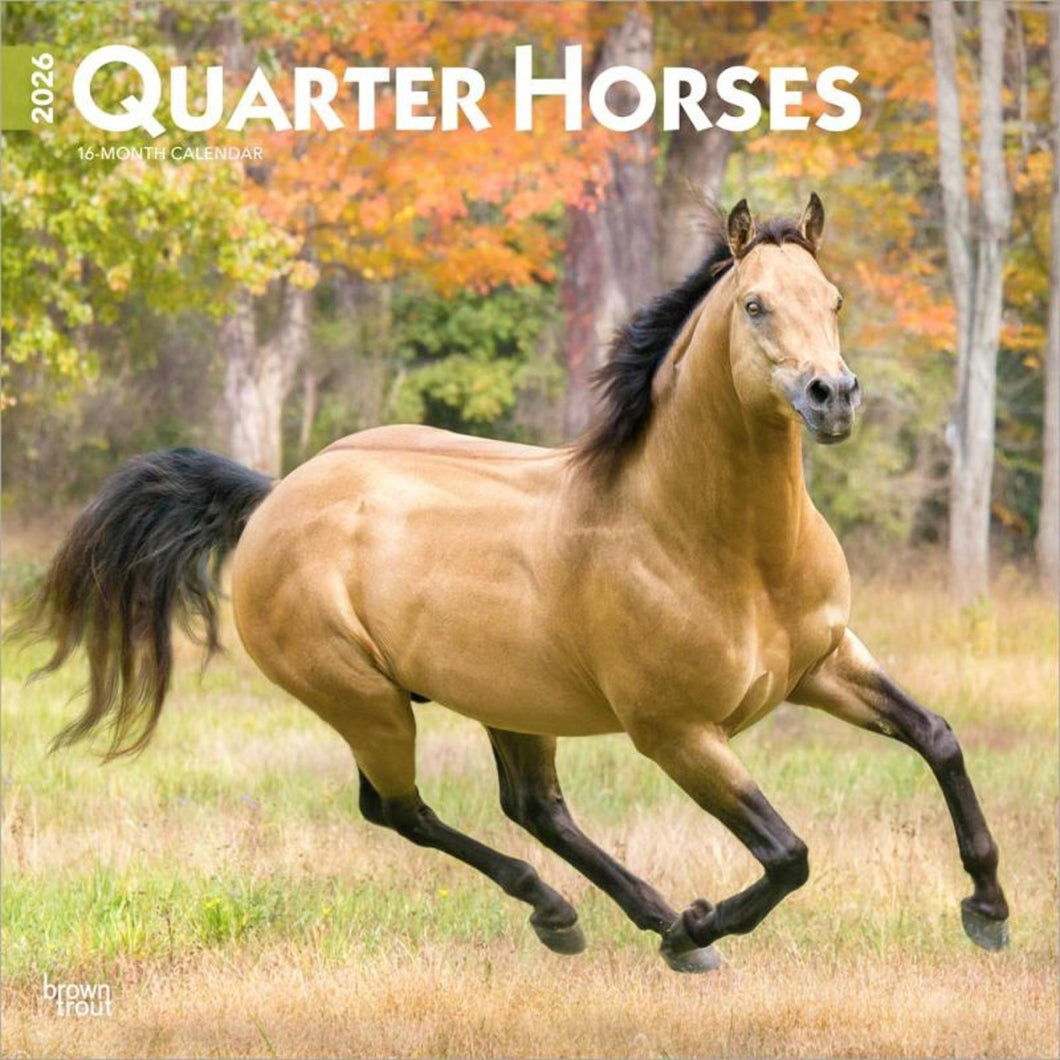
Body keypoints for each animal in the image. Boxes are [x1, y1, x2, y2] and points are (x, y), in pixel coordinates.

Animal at [24, 196, 1009, 972]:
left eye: (834, 298)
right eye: (756, 303)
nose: (831, 396)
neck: (716, 545)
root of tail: (274, 498)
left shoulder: (824, 663)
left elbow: (939, 737)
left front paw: (988, 909)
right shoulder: (679, 733)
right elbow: (788, 853)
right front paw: (702, 924)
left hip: (511, 699)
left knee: (532, 807)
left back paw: (628, 919)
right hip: (367, 703)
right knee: (400, 810)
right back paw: (588, 915)